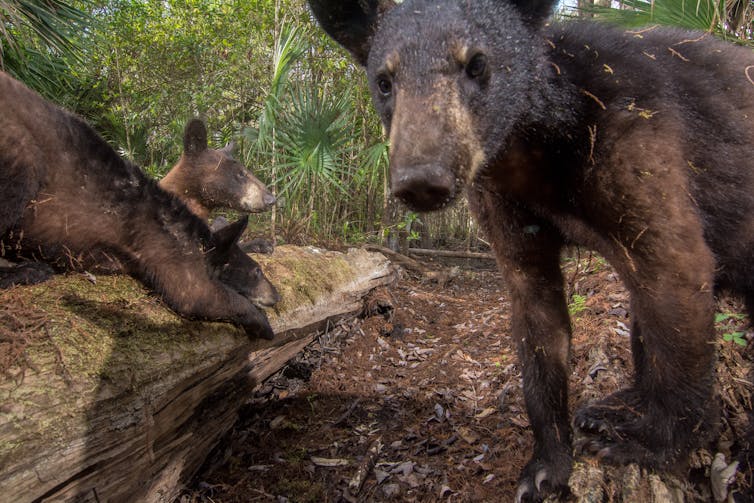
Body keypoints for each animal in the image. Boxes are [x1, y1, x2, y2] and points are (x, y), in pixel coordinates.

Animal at [308, 0, 754, 500]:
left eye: (476, 63)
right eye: (384, 81)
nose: (421, 179)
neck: (536, 147)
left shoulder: (640, 141)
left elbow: (676, 272)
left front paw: (649, 444)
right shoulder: (501, 200)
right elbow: (537, 316)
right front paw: (545, 467)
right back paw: (614, 408)